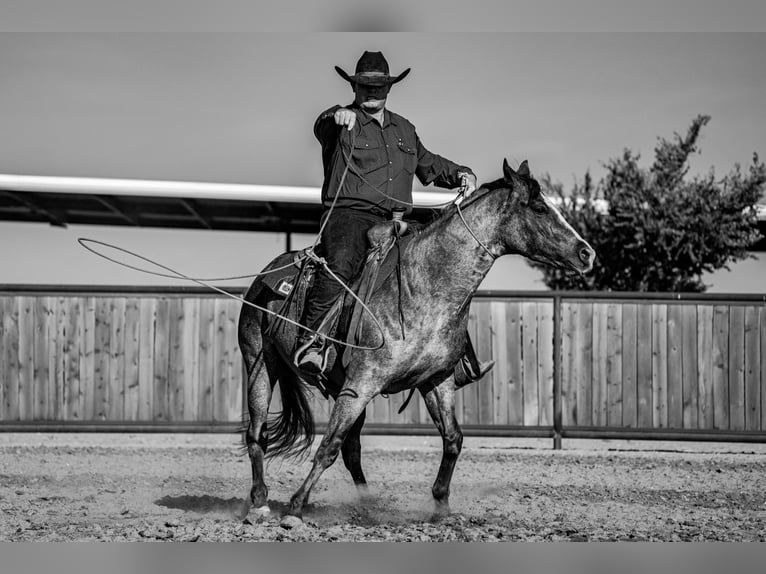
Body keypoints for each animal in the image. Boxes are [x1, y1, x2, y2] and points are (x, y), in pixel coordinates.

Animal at [237, 159, 595, 526]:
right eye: (539, 208)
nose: (587, 253)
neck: (423, 287)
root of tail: (268, 273)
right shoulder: (363, 382)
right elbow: (328, 446)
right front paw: (295, 508)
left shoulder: (436, 381)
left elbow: (453, 439)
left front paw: (441, 505)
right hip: (261, 363)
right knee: (258, 435)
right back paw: (259, 503)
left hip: (337, 385)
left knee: (352, 451)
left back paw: (368, 506)